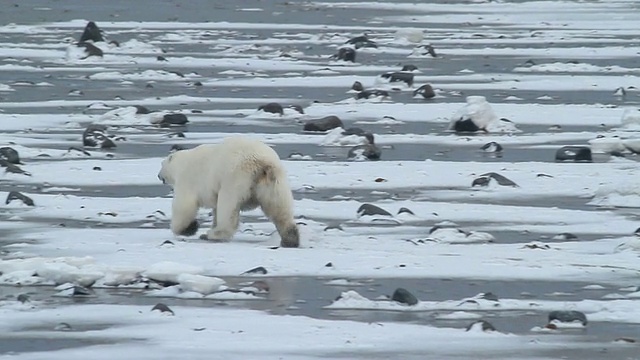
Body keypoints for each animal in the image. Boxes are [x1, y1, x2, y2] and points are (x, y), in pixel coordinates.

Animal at [159, 136, 302, 248]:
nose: (159, 175)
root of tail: (262, 164)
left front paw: (188, 228)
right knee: (279, 209)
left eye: (161, 165)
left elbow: (184, 205)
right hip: (273, 183)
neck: (181, 163)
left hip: (234, 179)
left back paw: (214, 234)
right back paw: (290, 239)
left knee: (227, 207)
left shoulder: (188, 179)